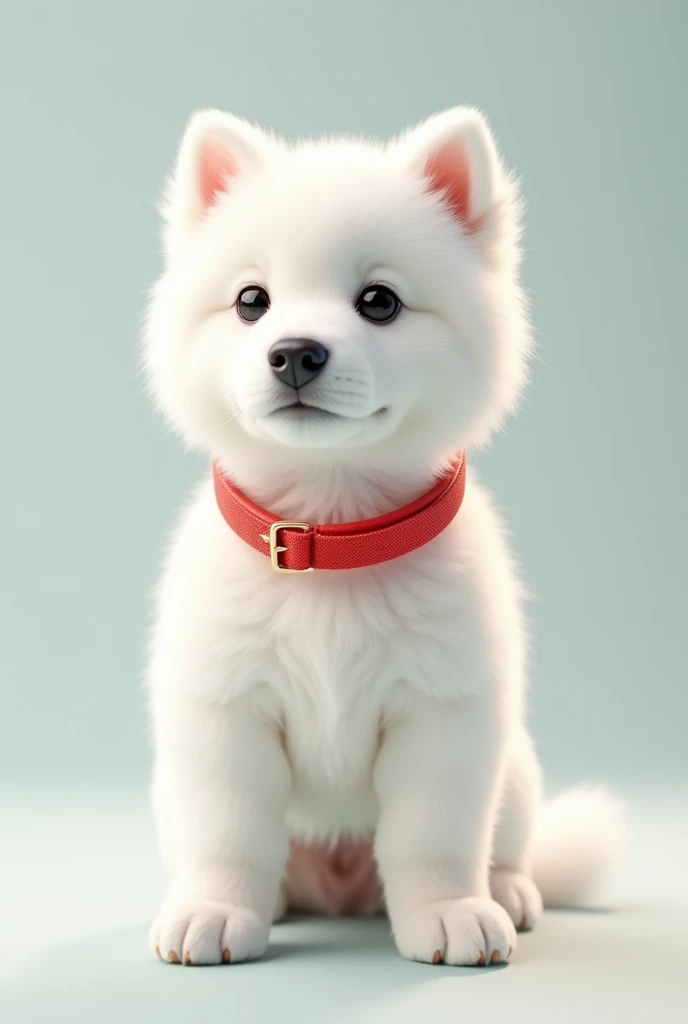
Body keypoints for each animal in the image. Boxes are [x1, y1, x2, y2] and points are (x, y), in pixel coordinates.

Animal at [143, 105, 622, 966]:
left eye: (380, 301)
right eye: (251, 300)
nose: (294, 353)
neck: (331, 540)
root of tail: (340, 889)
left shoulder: (445, 715)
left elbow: (432, 837)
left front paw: (450, 910)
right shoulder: (224, 713)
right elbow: (231, 834)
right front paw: (215, 908)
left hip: (518, 768)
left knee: (508, 846)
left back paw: (506, 890)